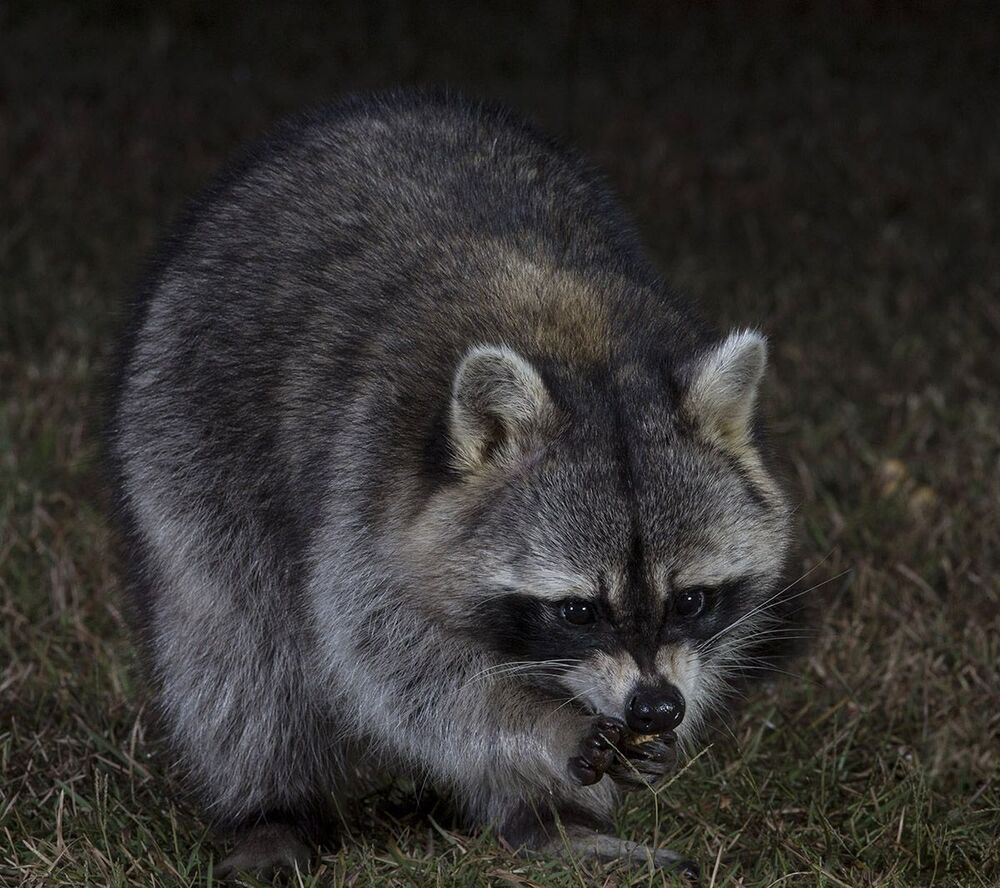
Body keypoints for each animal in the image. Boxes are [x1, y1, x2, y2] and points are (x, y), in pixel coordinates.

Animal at [107, 89, 795, 879]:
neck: (583, 343)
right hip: (183, 432)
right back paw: (271, 807)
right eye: (577, 611)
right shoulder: (363, 496)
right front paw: (543, 729)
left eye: (690, 599)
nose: (656, 710)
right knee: (235, 649)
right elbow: (394, 668)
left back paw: (551, 819)